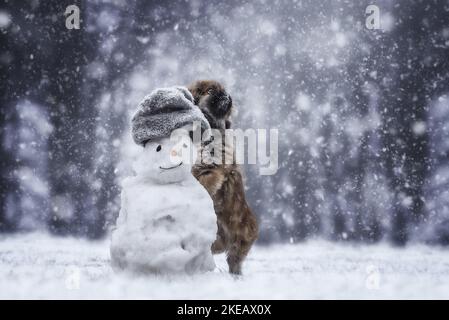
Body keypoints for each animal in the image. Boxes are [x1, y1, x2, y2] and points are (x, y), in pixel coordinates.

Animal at [186, 80, 258, 276]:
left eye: (224, 91)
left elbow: (204, 182)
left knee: (233, 260)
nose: (228, 96)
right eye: (210, 91)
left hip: (238, 239)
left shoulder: (211, 169)